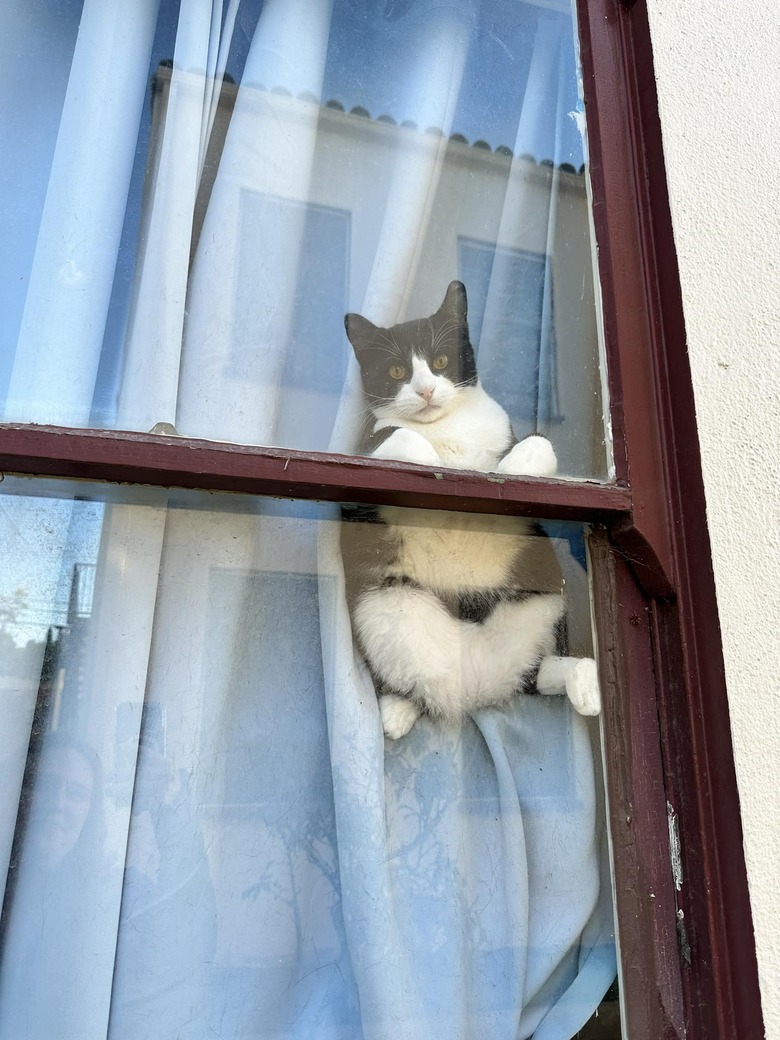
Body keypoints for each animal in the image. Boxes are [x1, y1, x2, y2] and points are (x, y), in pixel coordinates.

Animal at [341, 280, 599, 740]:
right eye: (396, 372)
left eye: (441, 361)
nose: (426, 390)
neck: (447, 427)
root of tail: (477, 688)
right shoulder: (367, 450)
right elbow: (399, 435)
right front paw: (436, 464)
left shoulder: (507, 432)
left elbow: (538, 443)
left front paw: (511, 468)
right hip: (387, 606)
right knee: (411, 683)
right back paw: (394, 713)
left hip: (543, 601)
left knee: (542, 671)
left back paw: (585, 684)